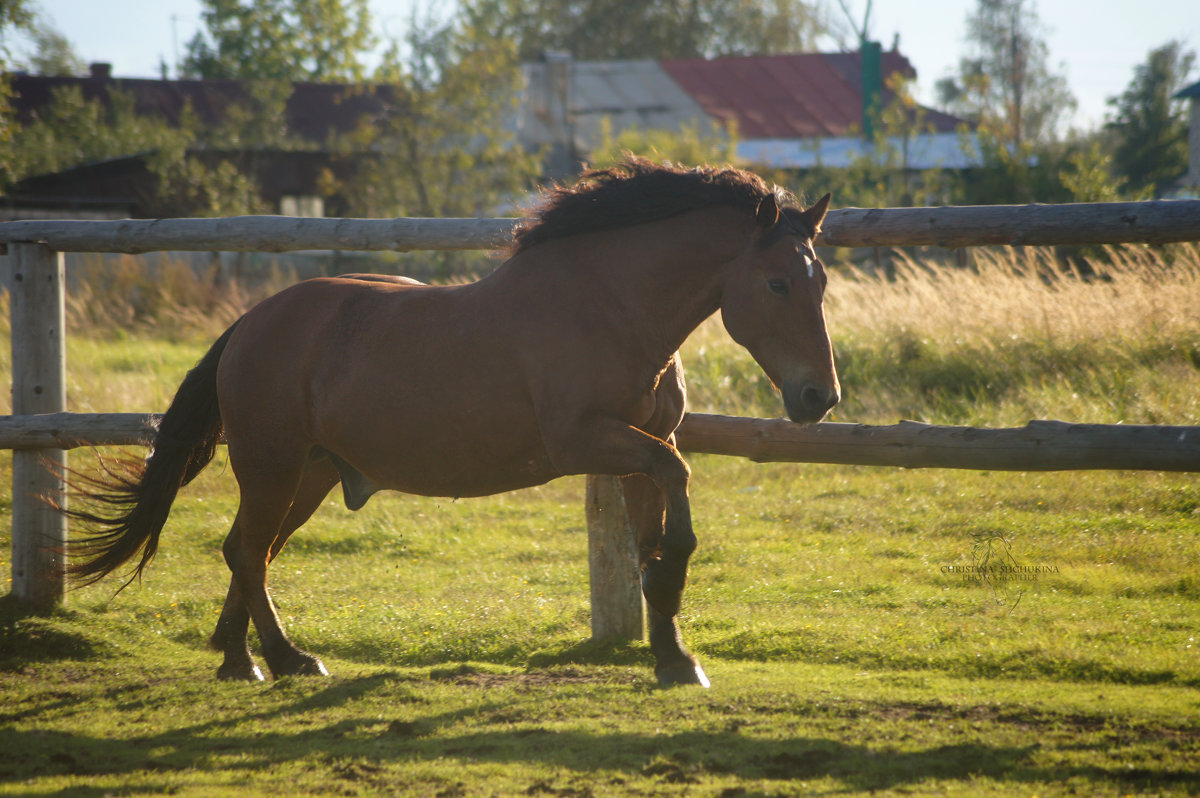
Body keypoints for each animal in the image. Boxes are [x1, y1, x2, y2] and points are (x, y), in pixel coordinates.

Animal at [63, 160, 835, 686]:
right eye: (776, 283)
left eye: (821, 280)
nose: (818, 398)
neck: (611, 307)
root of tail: (249, 324)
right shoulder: (589, 441)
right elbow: (675, 498)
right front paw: (674, 608)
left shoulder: (644, 445)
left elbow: (652, 537)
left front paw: (675, 660)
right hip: (271, 464)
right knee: (250, 553)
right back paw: (287, 658)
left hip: (307, 474)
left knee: (245, 550)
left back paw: (237, 660)